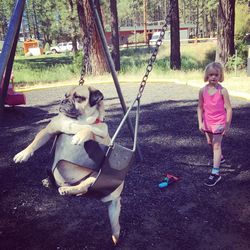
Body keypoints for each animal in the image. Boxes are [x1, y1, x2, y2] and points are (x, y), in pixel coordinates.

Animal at [13, 84, 123, 244]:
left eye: (78, 97)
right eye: (65, 95)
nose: (63, 101)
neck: (78, 121)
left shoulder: (100, 135)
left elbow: (90, 130)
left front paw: (80, 135)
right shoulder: (48, 131)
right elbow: (34, 142)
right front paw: (23, 154)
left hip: (96, 176)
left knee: (84, 186)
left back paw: (67, 190)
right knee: (80, 189)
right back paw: (54, 183)